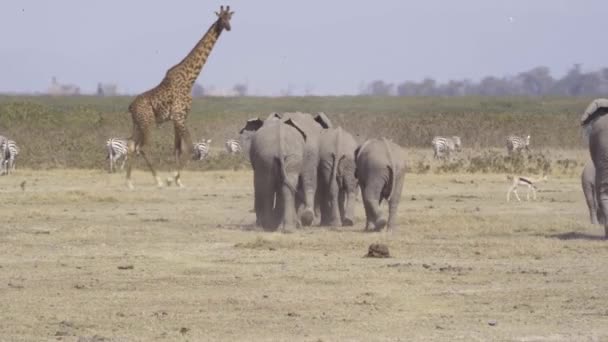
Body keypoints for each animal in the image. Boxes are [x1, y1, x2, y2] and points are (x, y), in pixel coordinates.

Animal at [126, 4, 235, 188]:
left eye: (230, 17)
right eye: (221, 17)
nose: (228, 27)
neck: (189, 80)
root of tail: (131, 107)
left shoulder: (179, 118)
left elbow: (177, 148)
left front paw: (179, 181)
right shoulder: (179, 116)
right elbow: (189, 148)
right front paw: (171, 178)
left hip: (137, 124)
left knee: (132, 145)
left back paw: (129, 182)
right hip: (148, 122)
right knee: (143, 147)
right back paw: (158, 180)